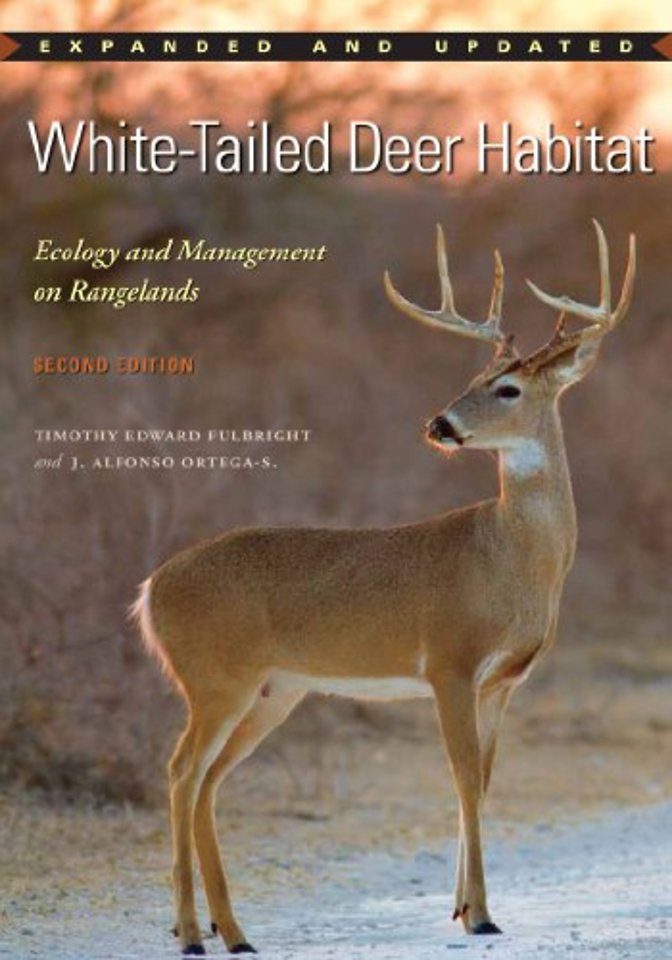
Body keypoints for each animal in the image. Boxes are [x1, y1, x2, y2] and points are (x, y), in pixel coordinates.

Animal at [132, 220, 635, 956]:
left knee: (205, 782)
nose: (440, 425)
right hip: (215, 676)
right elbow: (463, 778)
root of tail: (149, 588)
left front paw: (460, 906)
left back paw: (229, 930)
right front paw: (480, 913)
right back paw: (197, 932)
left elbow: (484, 780)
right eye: (475, 377)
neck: (512, 560)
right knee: (179, 772)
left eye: (507, 388)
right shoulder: (450, 661)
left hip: (273, 690)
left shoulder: (503, 682)